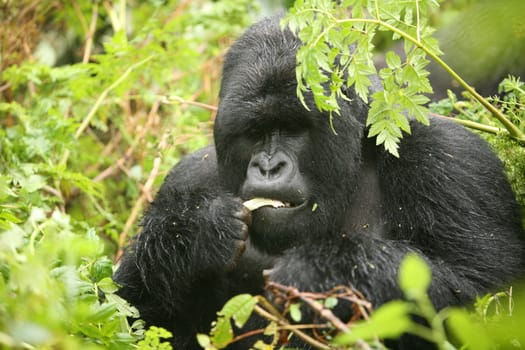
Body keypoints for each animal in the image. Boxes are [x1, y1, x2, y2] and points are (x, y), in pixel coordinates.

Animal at [114, 15, 524, 348]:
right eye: (255, 132)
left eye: (295, 128)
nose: (269, 167)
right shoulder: (185, 176)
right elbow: (130, 316)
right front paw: (190, 234)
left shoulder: (450, 160)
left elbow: (488, 299)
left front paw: (322, 272)